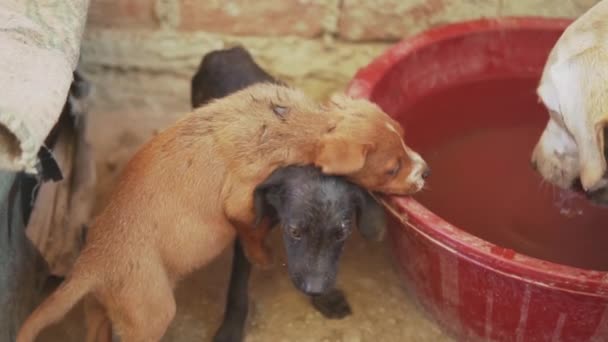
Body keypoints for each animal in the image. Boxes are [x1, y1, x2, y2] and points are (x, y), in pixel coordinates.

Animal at [17, 83, 428, 342]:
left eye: (405, 136)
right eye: (391, 168)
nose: (426, 172)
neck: (296, 123)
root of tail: (90, 263)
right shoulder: (240, 197)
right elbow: (250, 229)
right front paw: (262, 256)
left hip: (102, 308)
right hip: (150, 313)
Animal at [192, 46, 388, 342]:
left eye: (341, 233)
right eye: (294, 231)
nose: (314, 289)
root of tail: (225, 50)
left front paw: (326, 299)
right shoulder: (248, 226)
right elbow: (238, 287)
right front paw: (231, 329)